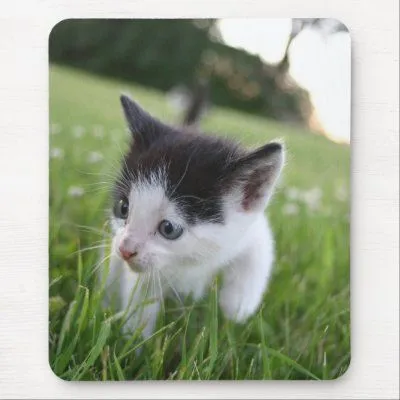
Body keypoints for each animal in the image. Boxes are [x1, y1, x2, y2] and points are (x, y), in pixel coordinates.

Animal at [101, 94, 286, 340]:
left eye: (169, 228)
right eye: (123, 208)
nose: (125, 250)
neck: (190, 263)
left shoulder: (252, 229)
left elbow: (259, 251)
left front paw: (237, 305)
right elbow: (141, 301)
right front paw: (134, 342)